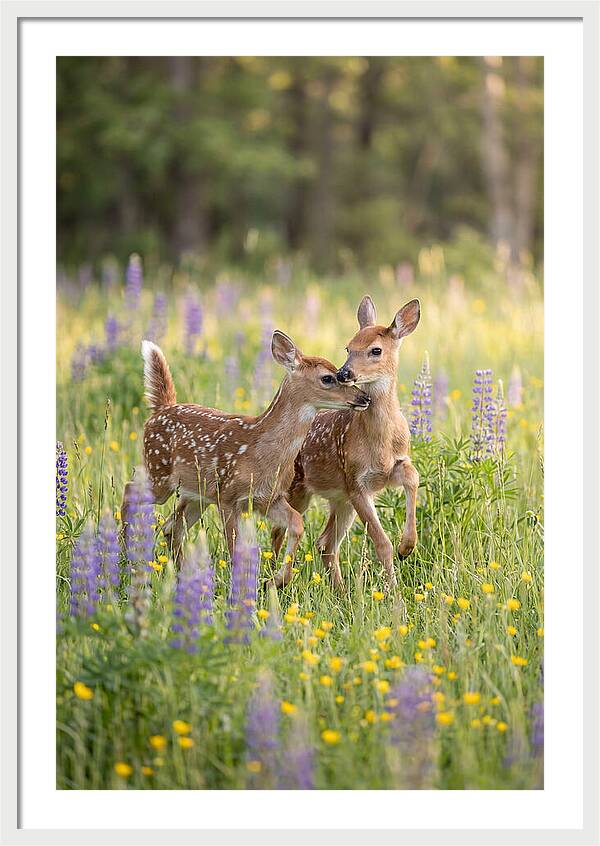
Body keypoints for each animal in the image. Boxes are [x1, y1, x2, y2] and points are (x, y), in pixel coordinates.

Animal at [121, 332, 370, 579]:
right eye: (328, 378)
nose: (364, 398)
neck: (261, 452)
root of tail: (161, 409)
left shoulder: (269, 498)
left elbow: (297, 523)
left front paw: (278, 580)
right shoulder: (228, 497)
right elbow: (235, 548)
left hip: (197, 494)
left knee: (171, 527)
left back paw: (182, 574)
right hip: (159, 473)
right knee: (130, 489)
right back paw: (125, 554)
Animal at [272, 297, 421, 591]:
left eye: (376, 350)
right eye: (348, 347)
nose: (344, 373)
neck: (380, 443)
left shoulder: (390, 468)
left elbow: (413, 477)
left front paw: (407, 547)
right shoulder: (355, 482)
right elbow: (381, 543)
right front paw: (394, 592)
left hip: (339, 499)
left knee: (325, 543)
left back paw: (340, 591)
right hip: (298, 490)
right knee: (279, 532)